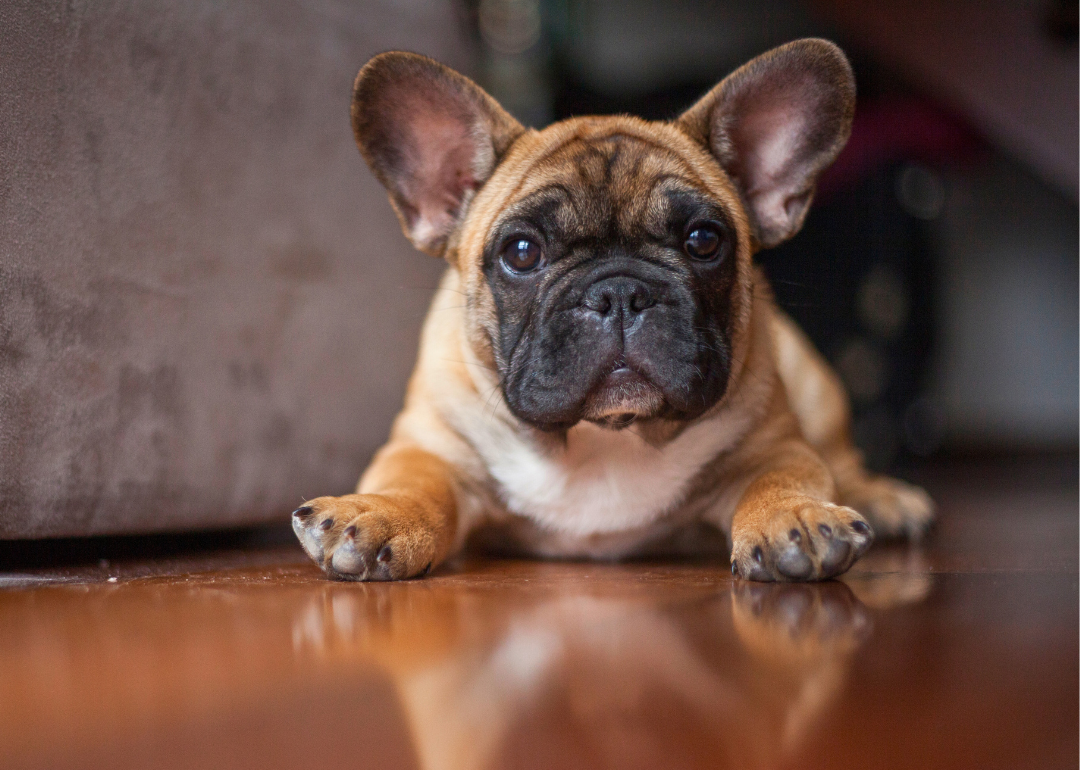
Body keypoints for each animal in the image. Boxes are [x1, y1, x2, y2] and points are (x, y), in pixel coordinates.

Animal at [291, 39, 933, 578]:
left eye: (704, 240)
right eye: (521, 252)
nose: (619, 293)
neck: (605, 439)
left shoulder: (775, 444)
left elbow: (783, 478)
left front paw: (795, 518)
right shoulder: (429, 445)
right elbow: (411, 482)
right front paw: (375, 514)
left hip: (813, 383)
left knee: (841, 457)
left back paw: (883, 498)